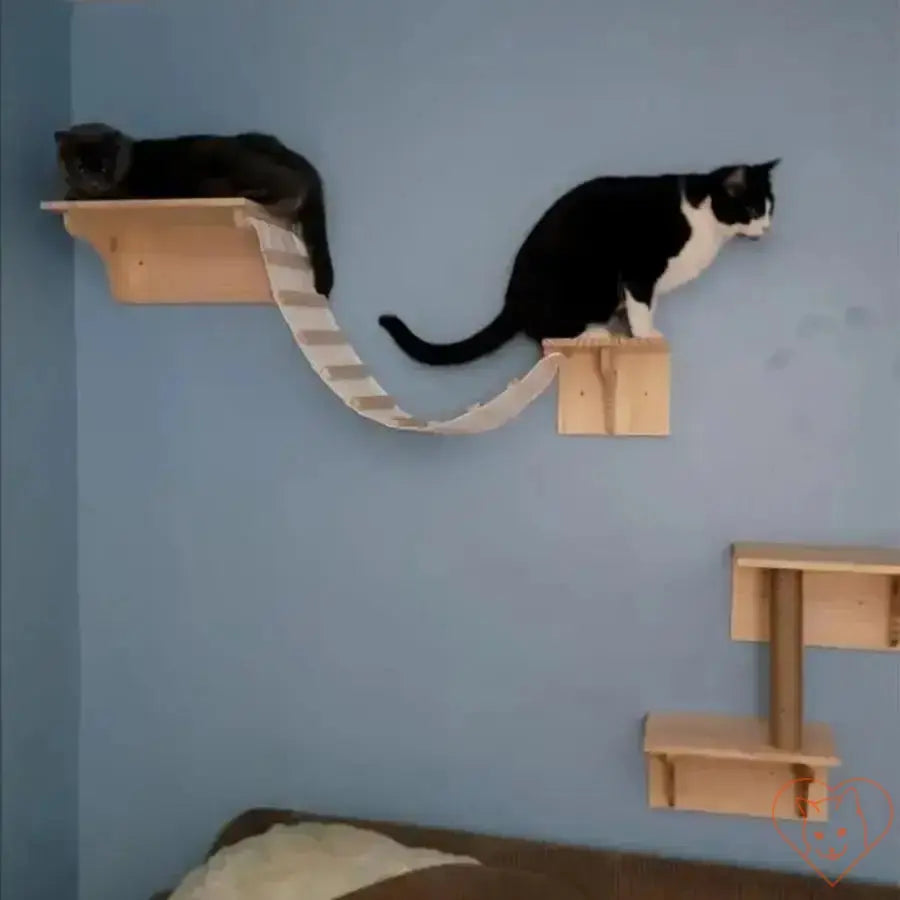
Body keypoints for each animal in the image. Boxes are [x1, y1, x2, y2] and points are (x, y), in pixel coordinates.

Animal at [376, 160, 776, 364]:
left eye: (771, 208)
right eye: (754, 209)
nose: (769, 228)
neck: (704, 220)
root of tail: (512, 299)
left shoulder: (646, 285)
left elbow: (642, 306)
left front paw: (637, 331)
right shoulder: (640, 268)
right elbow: (641, 307)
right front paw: (645, 337)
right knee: (544, 333)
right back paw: (592, 333)